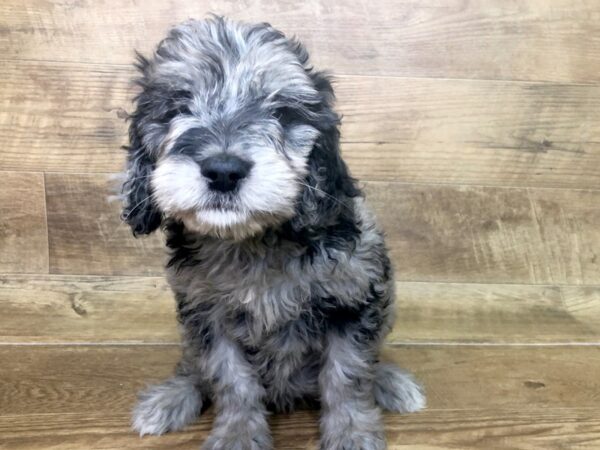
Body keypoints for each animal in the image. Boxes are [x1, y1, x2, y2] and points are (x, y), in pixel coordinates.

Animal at [119, 14, 424, 450]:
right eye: (178, 107)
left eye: (281, 113)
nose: (223, 170)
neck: (253, 241)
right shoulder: (206, 314)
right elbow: (230, 379)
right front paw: (238, 434)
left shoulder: (352, 300)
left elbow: (347, 375)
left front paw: (352, 431)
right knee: (192, 367)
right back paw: (171, 397)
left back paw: (390, 382)